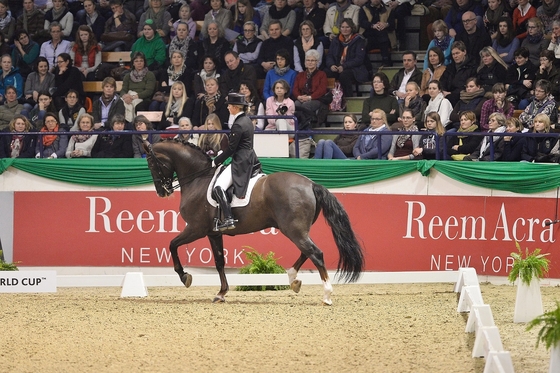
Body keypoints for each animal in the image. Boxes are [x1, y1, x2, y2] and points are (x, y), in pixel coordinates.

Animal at [142, 138, 366, 304]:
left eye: (151, 163)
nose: (162, 191)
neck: (198, 179)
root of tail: (311, 184)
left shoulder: (196, 228)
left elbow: (172, 245)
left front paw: (184, 277)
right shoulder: (213, 232)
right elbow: (219, 262)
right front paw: (221, 293)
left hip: (293, 229)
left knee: (316, 253)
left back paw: (326, 295)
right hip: (299, 230)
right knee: (307, 252)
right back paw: (293, 279)